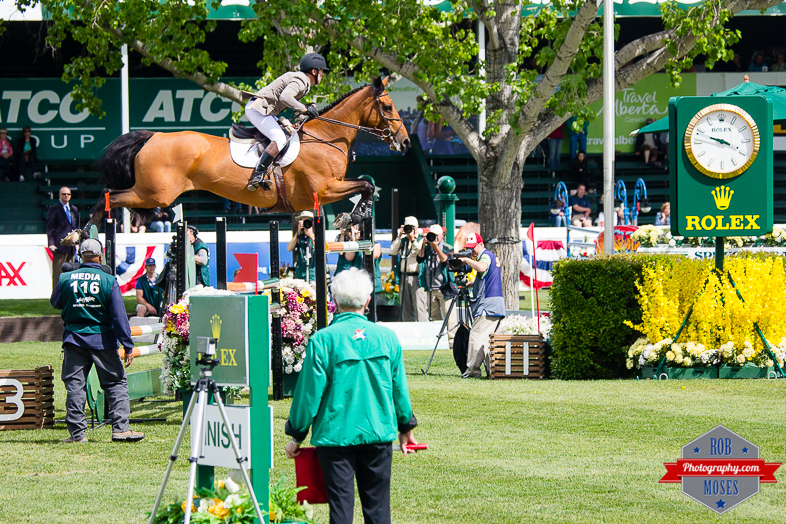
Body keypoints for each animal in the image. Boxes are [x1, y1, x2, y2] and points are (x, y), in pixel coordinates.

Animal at [64, 76, 409, 244]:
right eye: (387, 107)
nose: (405, 142)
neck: (326, 136)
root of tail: (152, 136)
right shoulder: (324, 189)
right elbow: (365, 185)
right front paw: (352, 216)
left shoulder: (325, 192)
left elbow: (365, 186)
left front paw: (354, 216)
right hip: (154, 193)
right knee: (110, 195)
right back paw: (78, 234)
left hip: (152, 194)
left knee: (115, 197)